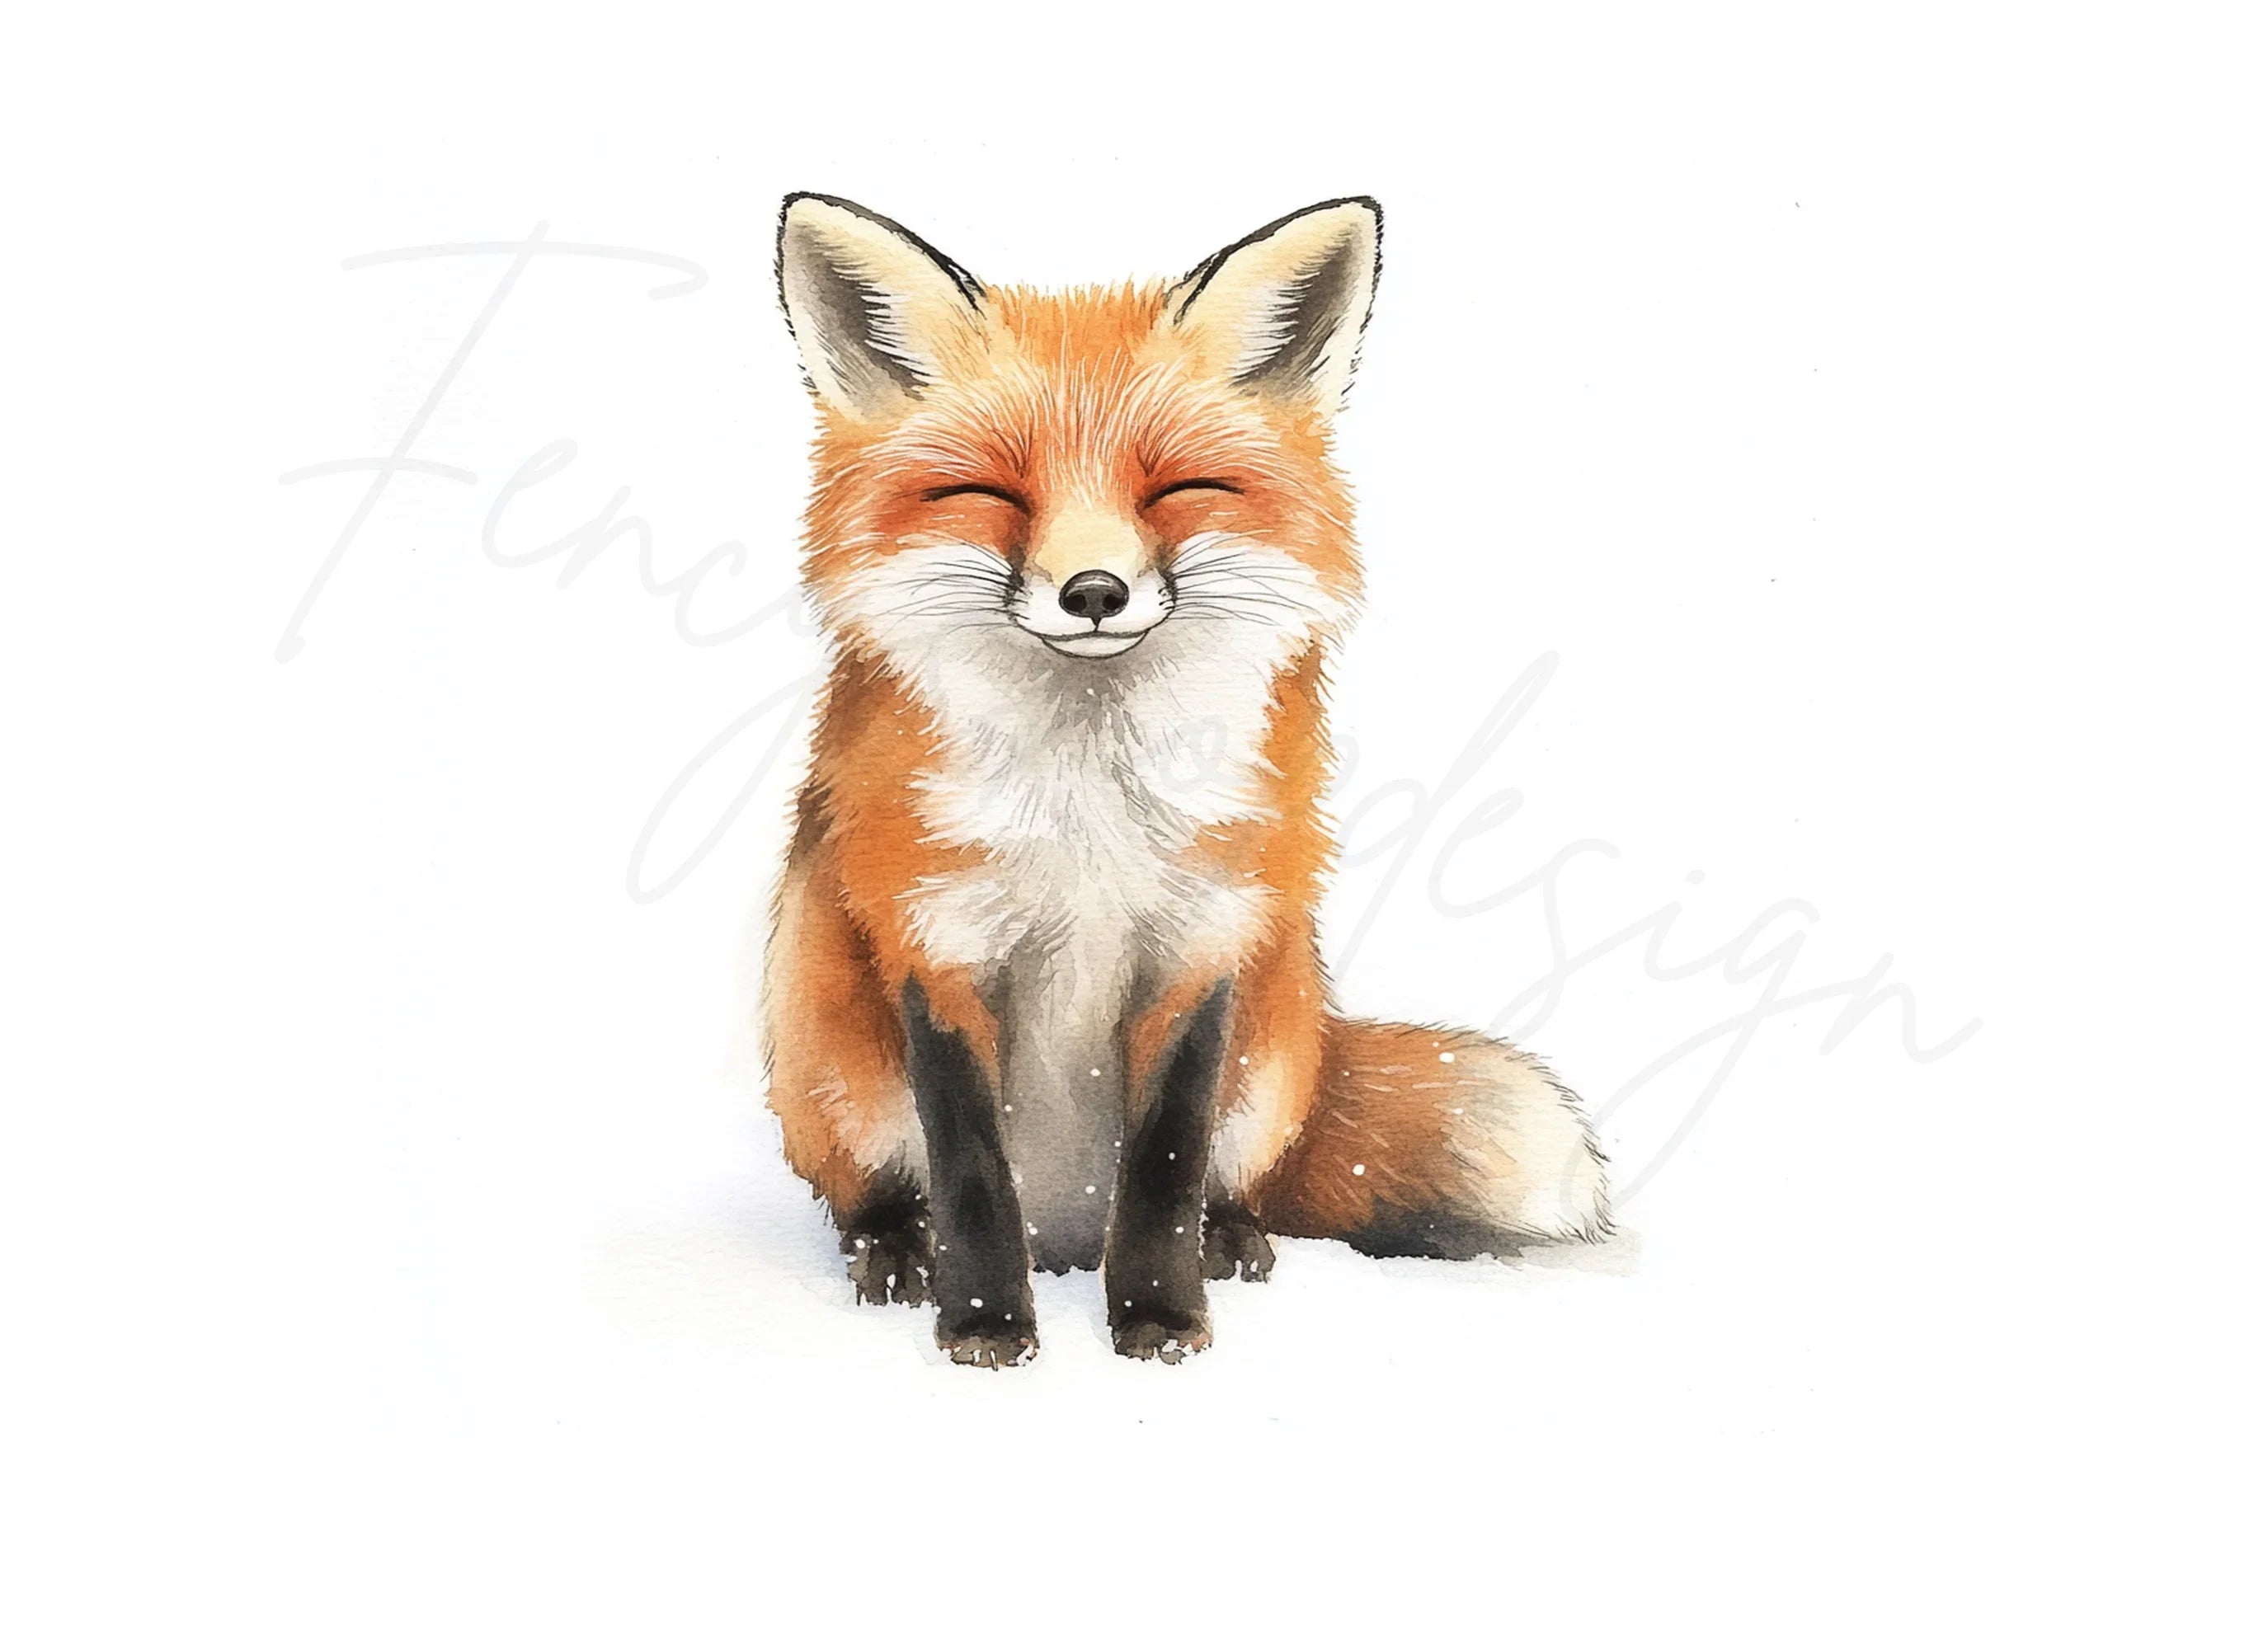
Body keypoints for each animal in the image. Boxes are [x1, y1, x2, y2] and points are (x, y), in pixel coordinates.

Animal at [763, 192, 1610, 1366]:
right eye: (987, 490)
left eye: (1178, 486)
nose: (1093, 590)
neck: (1086, 811)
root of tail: (1064, 1236)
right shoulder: (935, 937)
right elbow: (969, 1169)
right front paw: (984, 1326)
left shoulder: (1204, 937)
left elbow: (1164, 1162)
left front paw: (1160, 1316)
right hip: (825, 1049)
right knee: (878, 1188)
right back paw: (891, 1249)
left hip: (1275, 1048)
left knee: (1223, 1180)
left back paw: (1232, 1237)